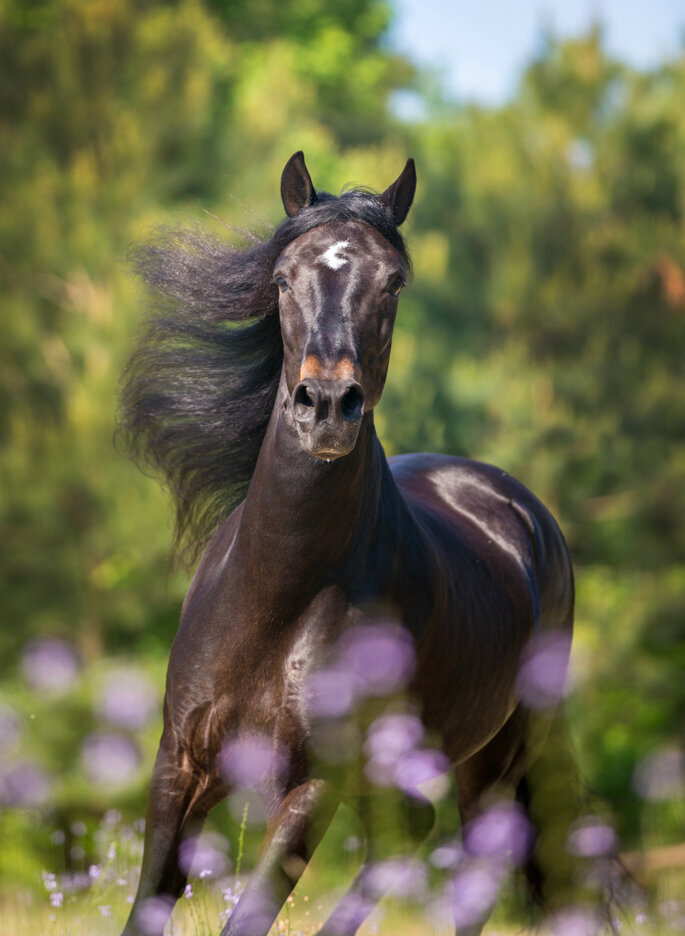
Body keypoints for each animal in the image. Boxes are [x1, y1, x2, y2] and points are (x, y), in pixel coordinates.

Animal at [117, 154, 572, 936]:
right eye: (280, 278)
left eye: (393, 281)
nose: (328, 406)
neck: (276, 596)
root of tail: (519, 506)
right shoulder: (181, 764)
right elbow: (146, 904)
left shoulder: (313, 784)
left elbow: (249, 916)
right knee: (405, 839)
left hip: (496, 755)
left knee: (475, 867)